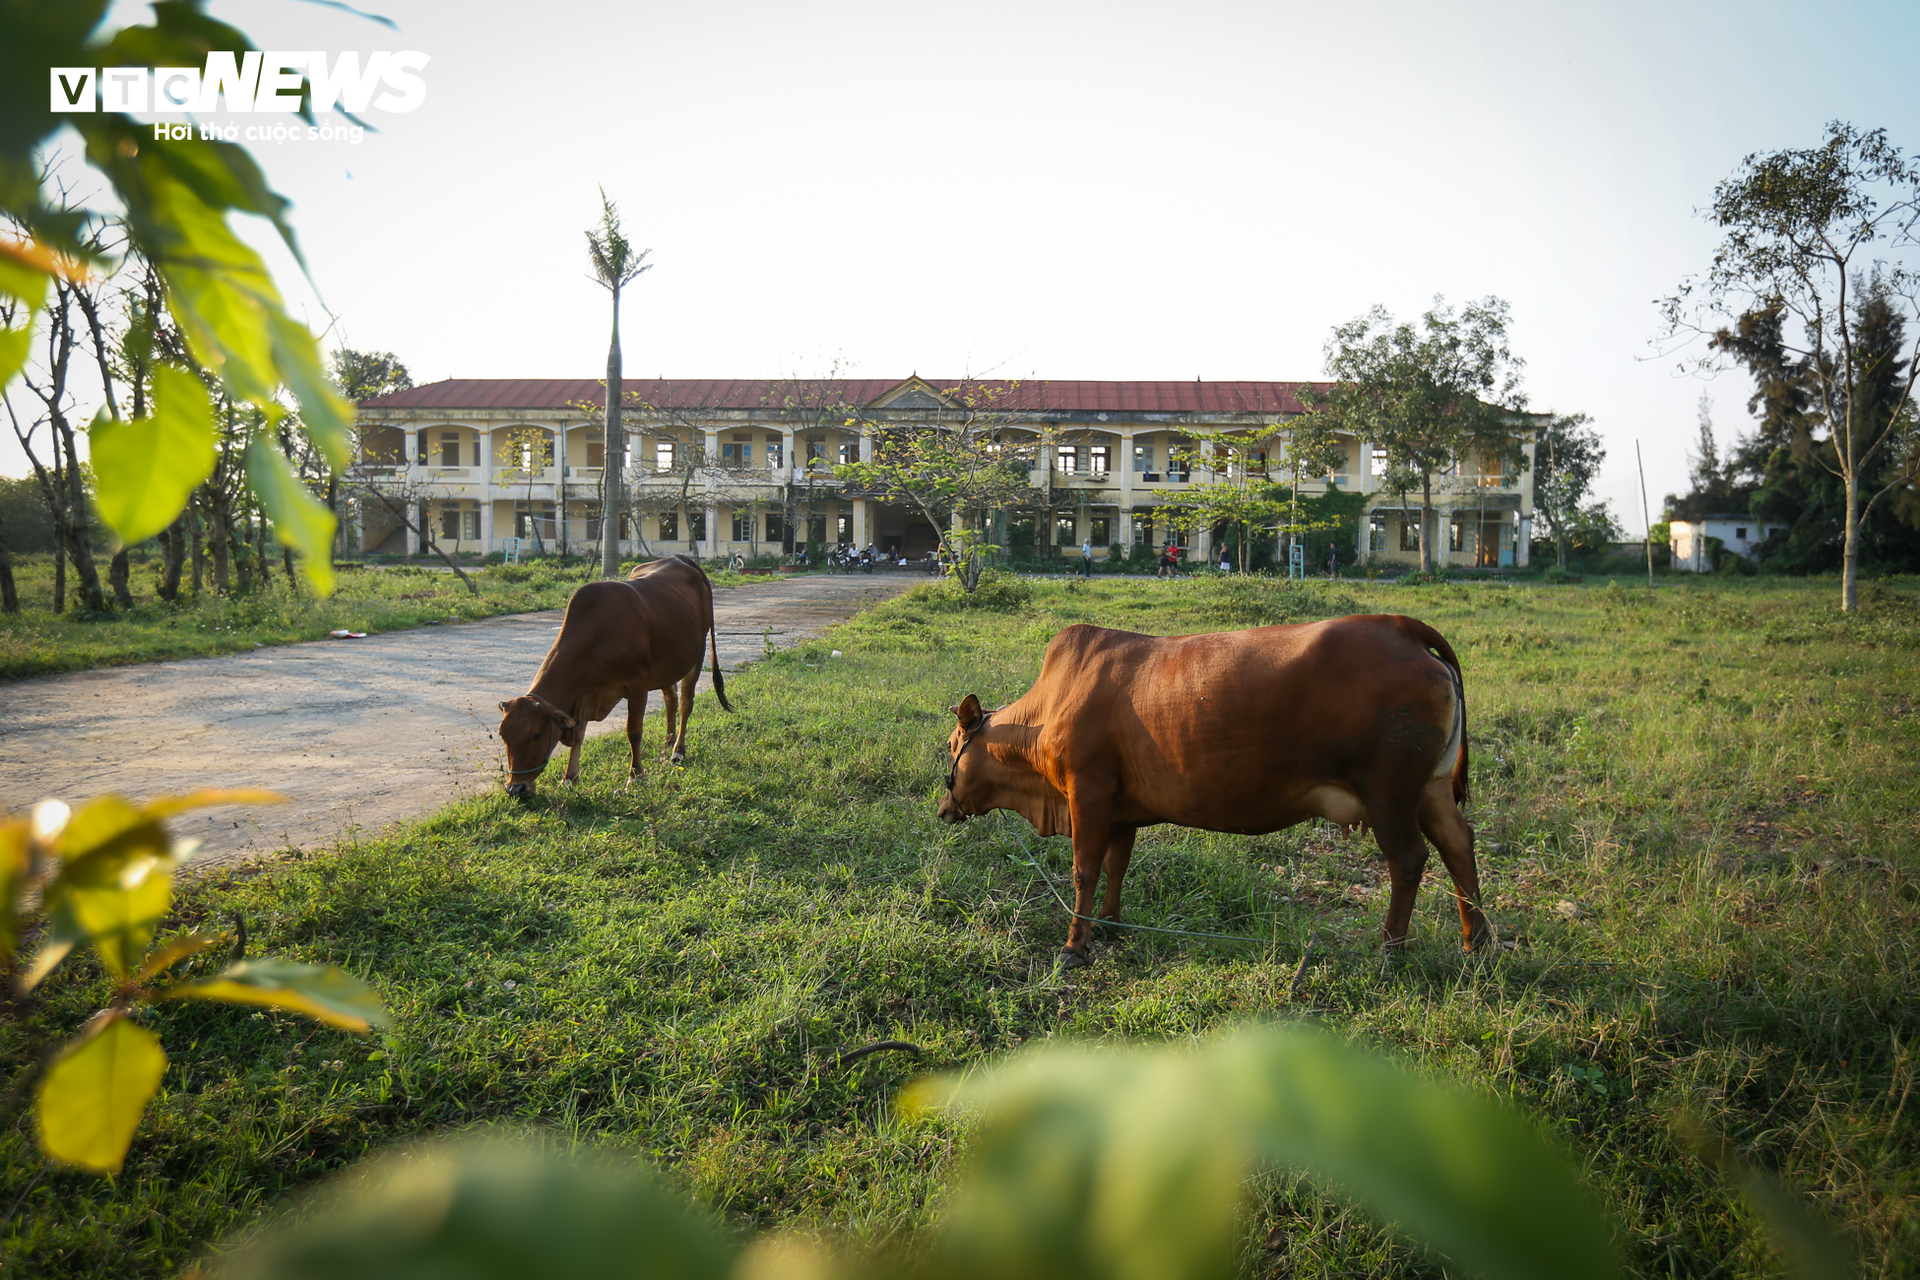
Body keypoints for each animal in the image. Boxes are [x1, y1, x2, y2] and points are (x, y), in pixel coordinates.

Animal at [499, 556, 729, 794]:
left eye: (537, 734)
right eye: (503, 735)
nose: (515, 789)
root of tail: (676, 558)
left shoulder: (637, 687)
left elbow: (634, 732)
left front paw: (635, 776)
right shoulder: (584, 695)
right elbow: (579, 734)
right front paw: (570, 778)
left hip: (697, 653)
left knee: (685, 703)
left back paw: (677, 751)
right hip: (667, 664)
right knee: (671, 701)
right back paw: (666, 747)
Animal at [936, 614, 1489, 967]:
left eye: (951, 745)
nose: (943, 808)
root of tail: (1404, 628)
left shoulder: (1087, 794)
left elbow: (1084, 871)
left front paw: (1075, 946)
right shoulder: (1120, 810)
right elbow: (1117, 866)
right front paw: (1111, 925)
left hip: (1389, 794)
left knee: (1409, 859)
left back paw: (1391, 949)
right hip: (1430, 789)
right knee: (1458, 846)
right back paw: (1476, 943)